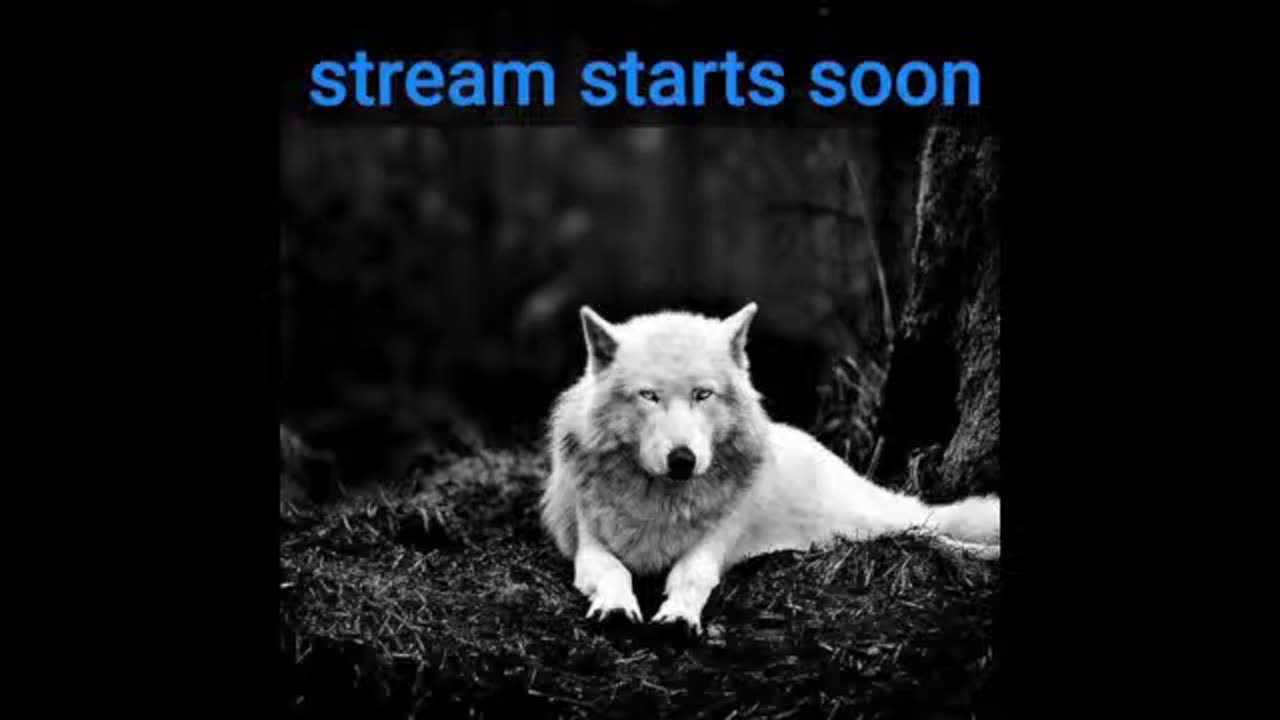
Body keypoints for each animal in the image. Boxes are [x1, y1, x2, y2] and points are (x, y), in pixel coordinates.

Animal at [540, 302, 999, 635]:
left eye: (703, 394)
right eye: (648, 396)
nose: (683, 459)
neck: (662, 503)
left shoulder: (714, 544)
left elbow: (691, 576)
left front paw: (678, 618)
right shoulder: (589, 546)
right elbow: (614, 571)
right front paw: (617, 607)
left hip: (868, 522)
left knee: (929, 529)